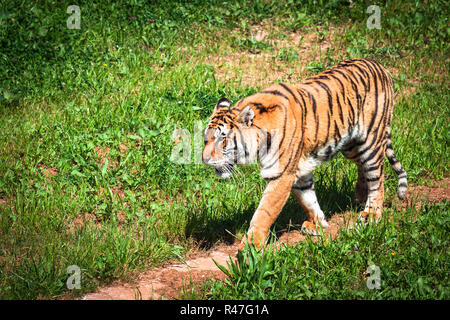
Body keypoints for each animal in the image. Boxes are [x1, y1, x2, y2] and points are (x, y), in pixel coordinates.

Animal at [202, 59, 406, 250]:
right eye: (206, 138)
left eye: (222, 139)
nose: (204, 160)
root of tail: (381, 66)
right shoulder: (298, 172)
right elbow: (307, 198)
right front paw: (317, 224)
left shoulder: (281, 174)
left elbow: (264, 211)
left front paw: (251, 246)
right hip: (351, 146)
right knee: (362, 167)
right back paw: (360, 195)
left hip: (370, 140)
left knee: (377, 177)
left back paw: (371, 214)